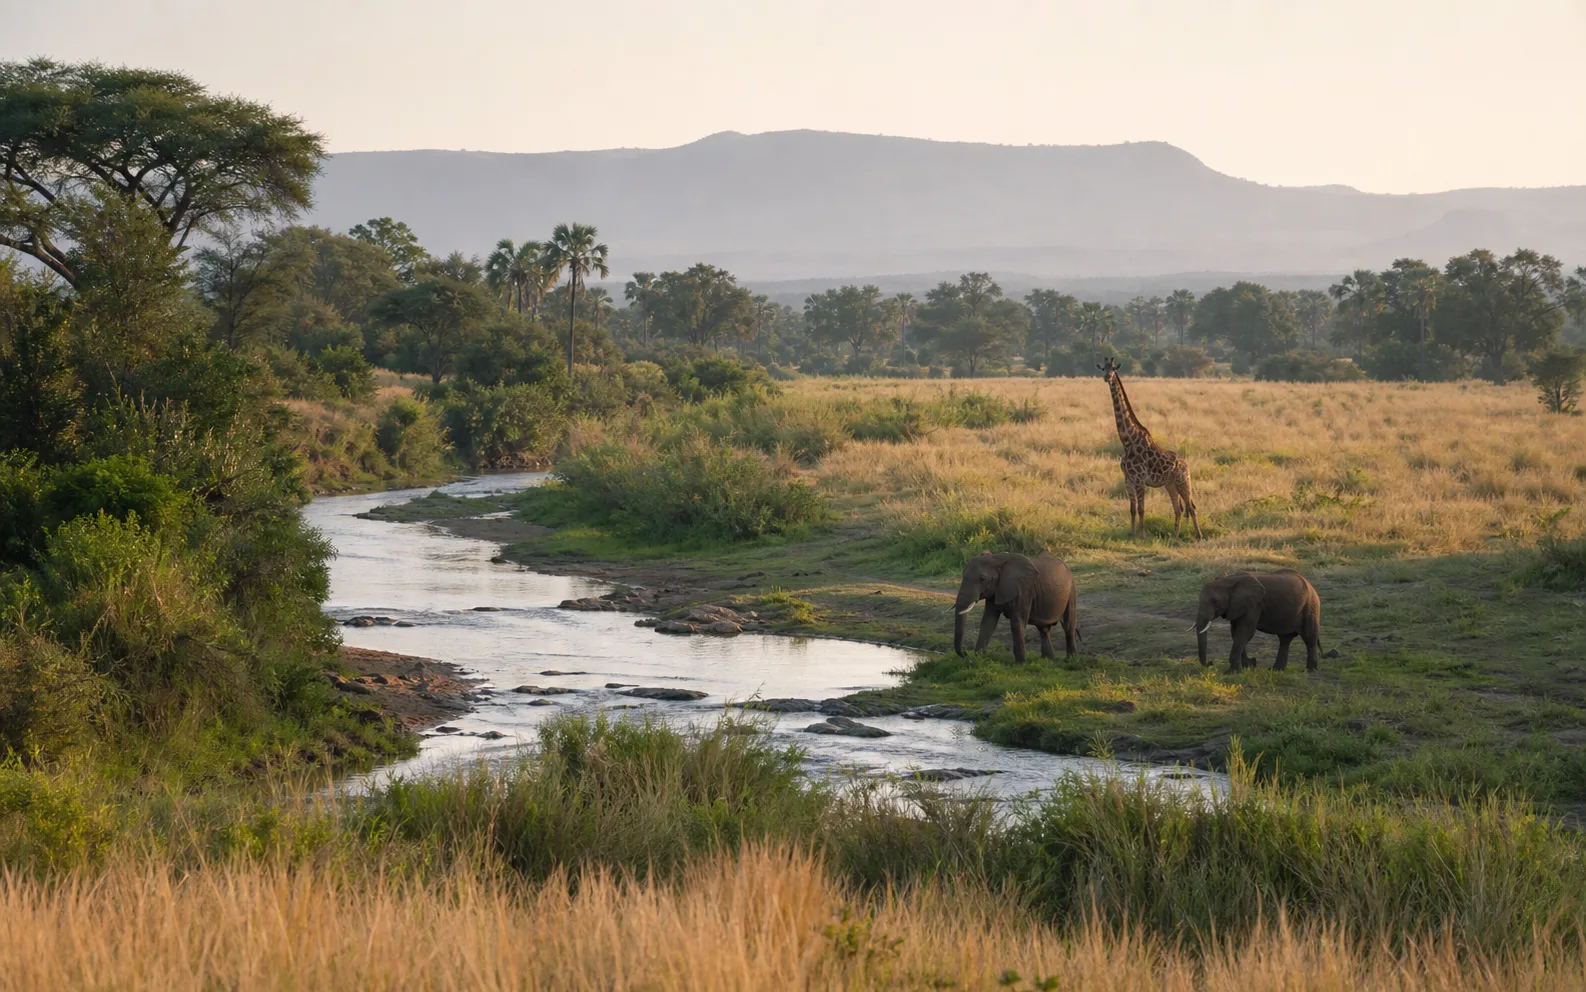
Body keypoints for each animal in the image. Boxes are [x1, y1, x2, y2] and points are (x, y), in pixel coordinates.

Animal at [1097, 357, 1203, 539]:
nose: (1106, 377)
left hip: (1183, 481)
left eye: (1113, 369)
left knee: (1191, 507)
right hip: (1170, 484)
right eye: (1103, 368)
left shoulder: (1140, 480)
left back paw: (1198, 535)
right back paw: (1175, 536)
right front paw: (1132, 534)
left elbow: (1141, 509)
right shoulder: (1128, 480)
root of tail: (1186, 464)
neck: (1127, 441)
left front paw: (1143, 534)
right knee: (1179, 508)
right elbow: (1132, 509)